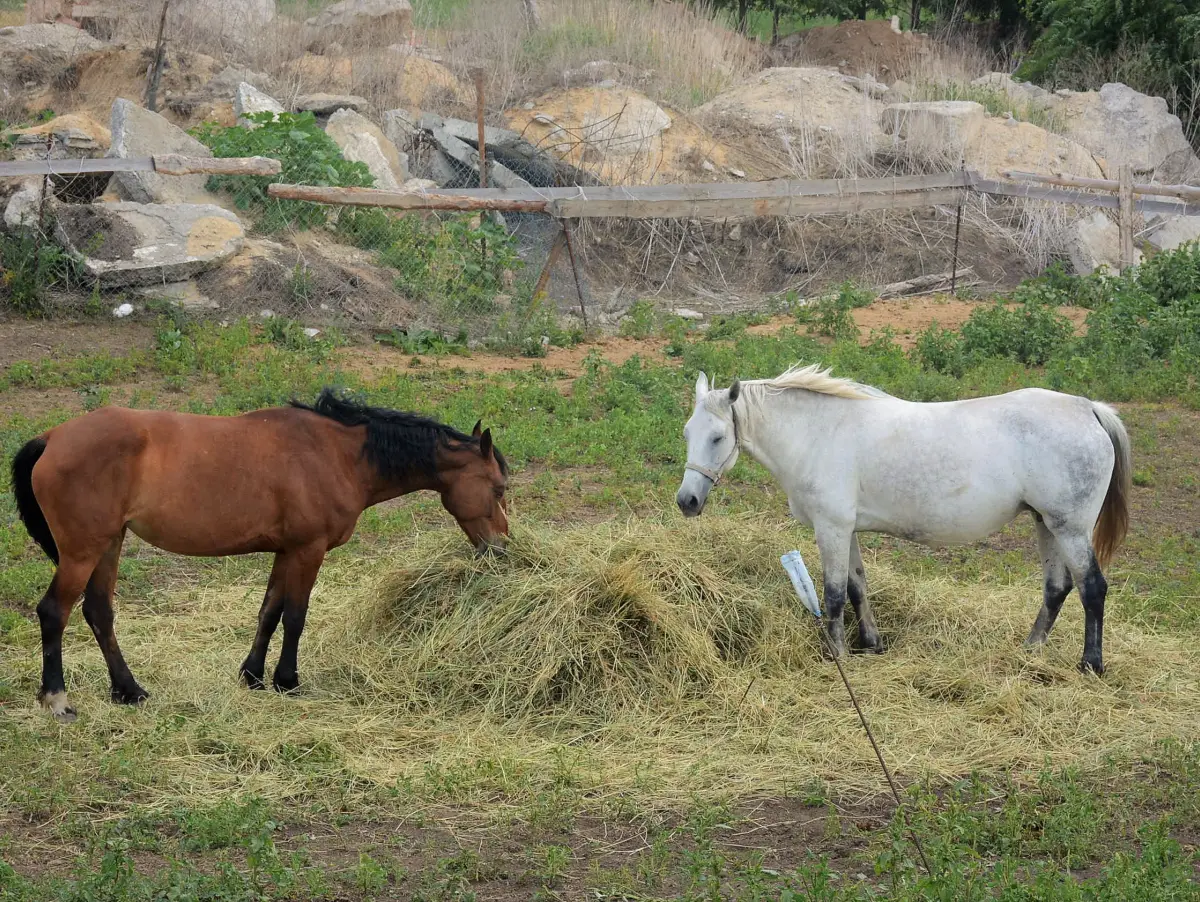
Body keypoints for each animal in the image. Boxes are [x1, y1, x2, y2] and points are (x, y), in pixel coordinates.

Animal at [10, 391, 506, 724]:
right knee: (54, 612)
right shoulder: (308, 551)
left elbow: (269, 612)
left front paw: (252, 676)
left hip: (109, 545)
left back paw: (128, 691)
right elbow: (296, 617)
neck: (337, 454)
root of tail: (53, 437)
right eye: (500, 488)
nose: (501, 548)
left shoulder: (286, 552)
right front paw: (288, 681)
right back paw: (57, 699)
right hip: (82, 552)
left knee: (99, 613)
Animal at [681, 362, 1128, 671]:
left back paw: (1091, 664)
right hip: (1045, 525)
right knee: (1057, 588)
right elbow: (857, 586)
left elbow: (834, 594)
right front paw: (871, 644)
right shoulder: (848, 530)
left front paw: (837, 653)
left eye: (717, 437)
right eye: (687, 432)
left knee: (1092, 588)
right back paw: (1030, 650)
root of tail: (1087, 408)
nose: (687, 501)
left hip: (1069, 529)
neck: (818, 433)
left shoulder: (831, 528)